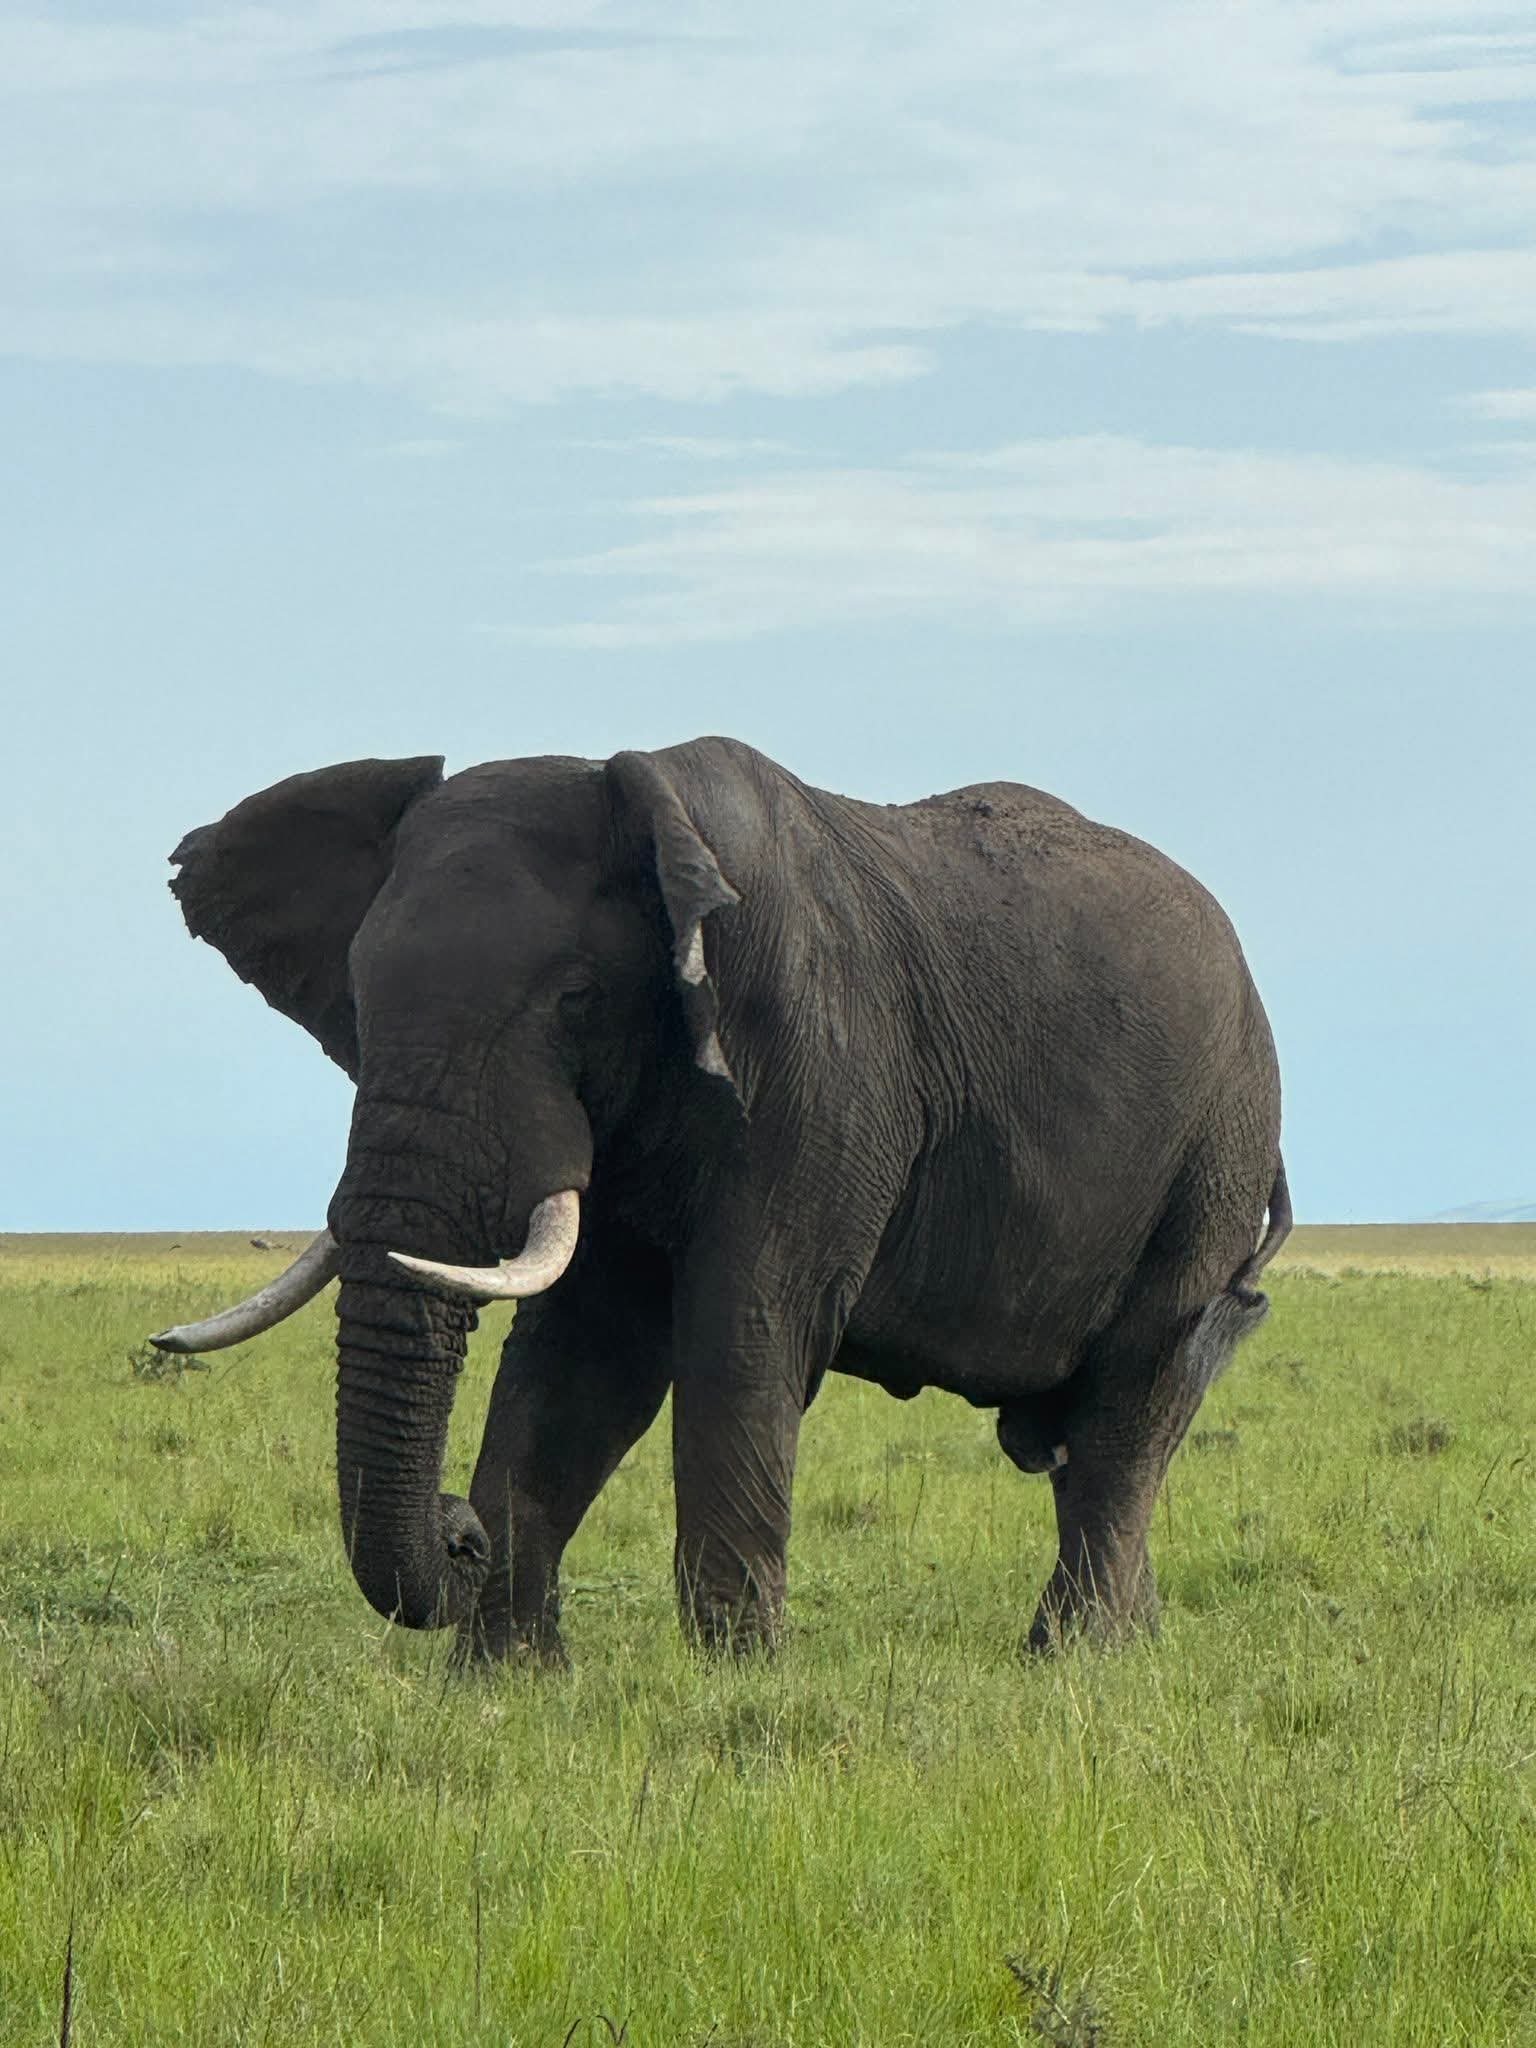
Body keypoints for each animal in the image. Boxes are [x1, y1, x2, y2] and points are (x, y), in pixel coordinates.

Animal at [151, 738, 1289, 1662]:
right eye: (357, 996)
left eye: (576, 999)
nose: (456, 1529)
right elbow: (583, 1357)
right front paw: (510, 1675)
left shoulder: (815, 1060)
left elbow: (742, 1330)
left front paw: (734, 1671)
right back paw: (1131, 1642)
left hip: (1217, 1145)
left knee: (1137, 1395)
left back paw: (1071, 1659)